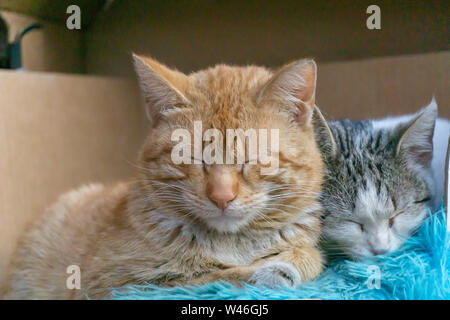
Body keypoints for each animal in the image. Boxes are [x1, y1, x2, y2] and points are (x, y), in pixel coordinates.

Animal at [2, 55, 324, 300]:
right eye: (190, 159)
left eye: (252, 159)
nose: (221, 197)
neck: (234, 243)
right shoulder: (121, 285)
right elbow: (207, 277)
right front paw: (269, 271)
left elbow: (310, 254)